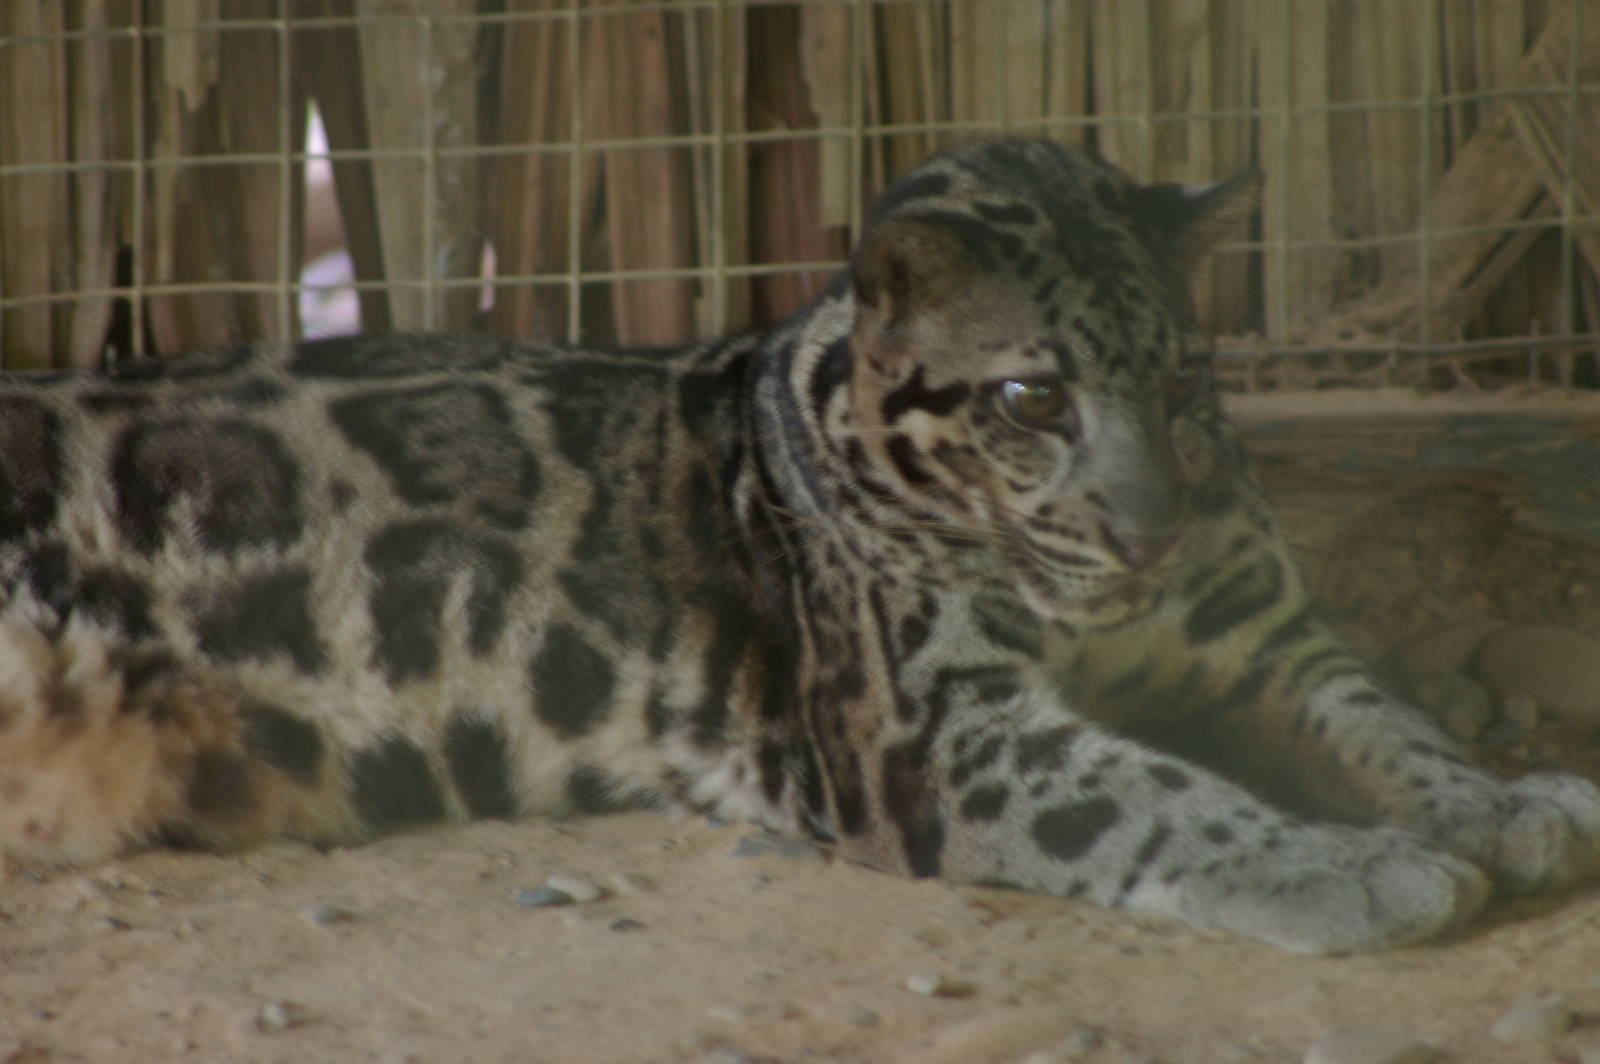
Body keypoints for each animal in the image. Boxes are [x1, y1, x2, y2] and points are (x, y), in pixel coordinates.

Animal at [1, 137, 1596, 955]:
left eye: (1184, 382)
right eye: (1033, 399)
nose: (1152, 540)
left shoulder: (1268, 642)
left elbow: (1384, 719)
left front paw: (1503, 803)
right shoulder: (920, 733)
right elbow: (1151, 794)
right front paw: (1354, 864)